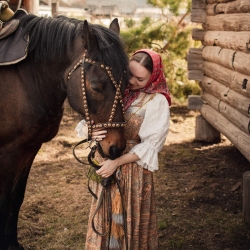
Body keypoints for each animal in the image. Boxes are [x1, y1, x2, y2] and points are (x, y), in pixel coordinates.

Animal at [0, 14, 129, 250]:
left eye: (127, 84)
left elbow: (16, 197)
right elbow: (4, 202)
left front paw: (12, 243)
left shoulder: (29, 148)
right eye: (95, 87)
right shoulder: (7, 153)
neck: (27, 80)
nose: (116, 147)